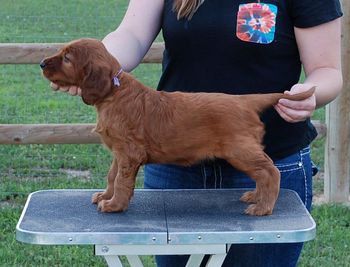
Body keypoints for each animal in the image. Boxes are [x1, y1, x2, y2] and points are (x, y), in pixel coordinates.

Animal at [40, 38, 314, 217]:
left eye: (67, 58)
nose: (42, 63)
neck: (114, 92)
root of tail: (245, 101)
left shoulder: (129, 152)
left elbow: (121, 180)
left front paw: (114, 205)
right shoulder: (119, 152)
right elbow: (112, 175)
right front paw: (106, 196)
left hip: (240, 150)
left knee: (270, 171)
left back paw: (263, 207)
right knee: (263, 173)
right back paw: (256, 196)